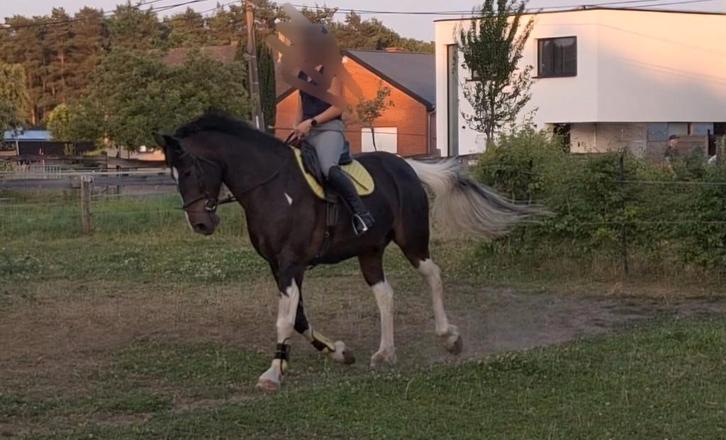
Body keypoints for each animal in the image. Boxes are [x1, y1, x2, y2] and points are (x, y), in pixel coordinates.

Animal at [155, 112, 538, 392]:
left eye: (188, 169)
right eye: (172, 174)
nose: (200, 223)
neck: (272, 186)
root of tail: (406, 166)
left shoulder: (290, 264)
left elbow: (285, 319)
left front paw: (273, 373)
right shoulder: (280, 266)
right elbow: (298, 318)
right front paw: (338, 352)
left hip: (412, 240)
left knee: (433, 275)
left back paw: (449, 338)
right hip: (369, 250)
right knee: (385, 294)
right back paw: (385, 353)